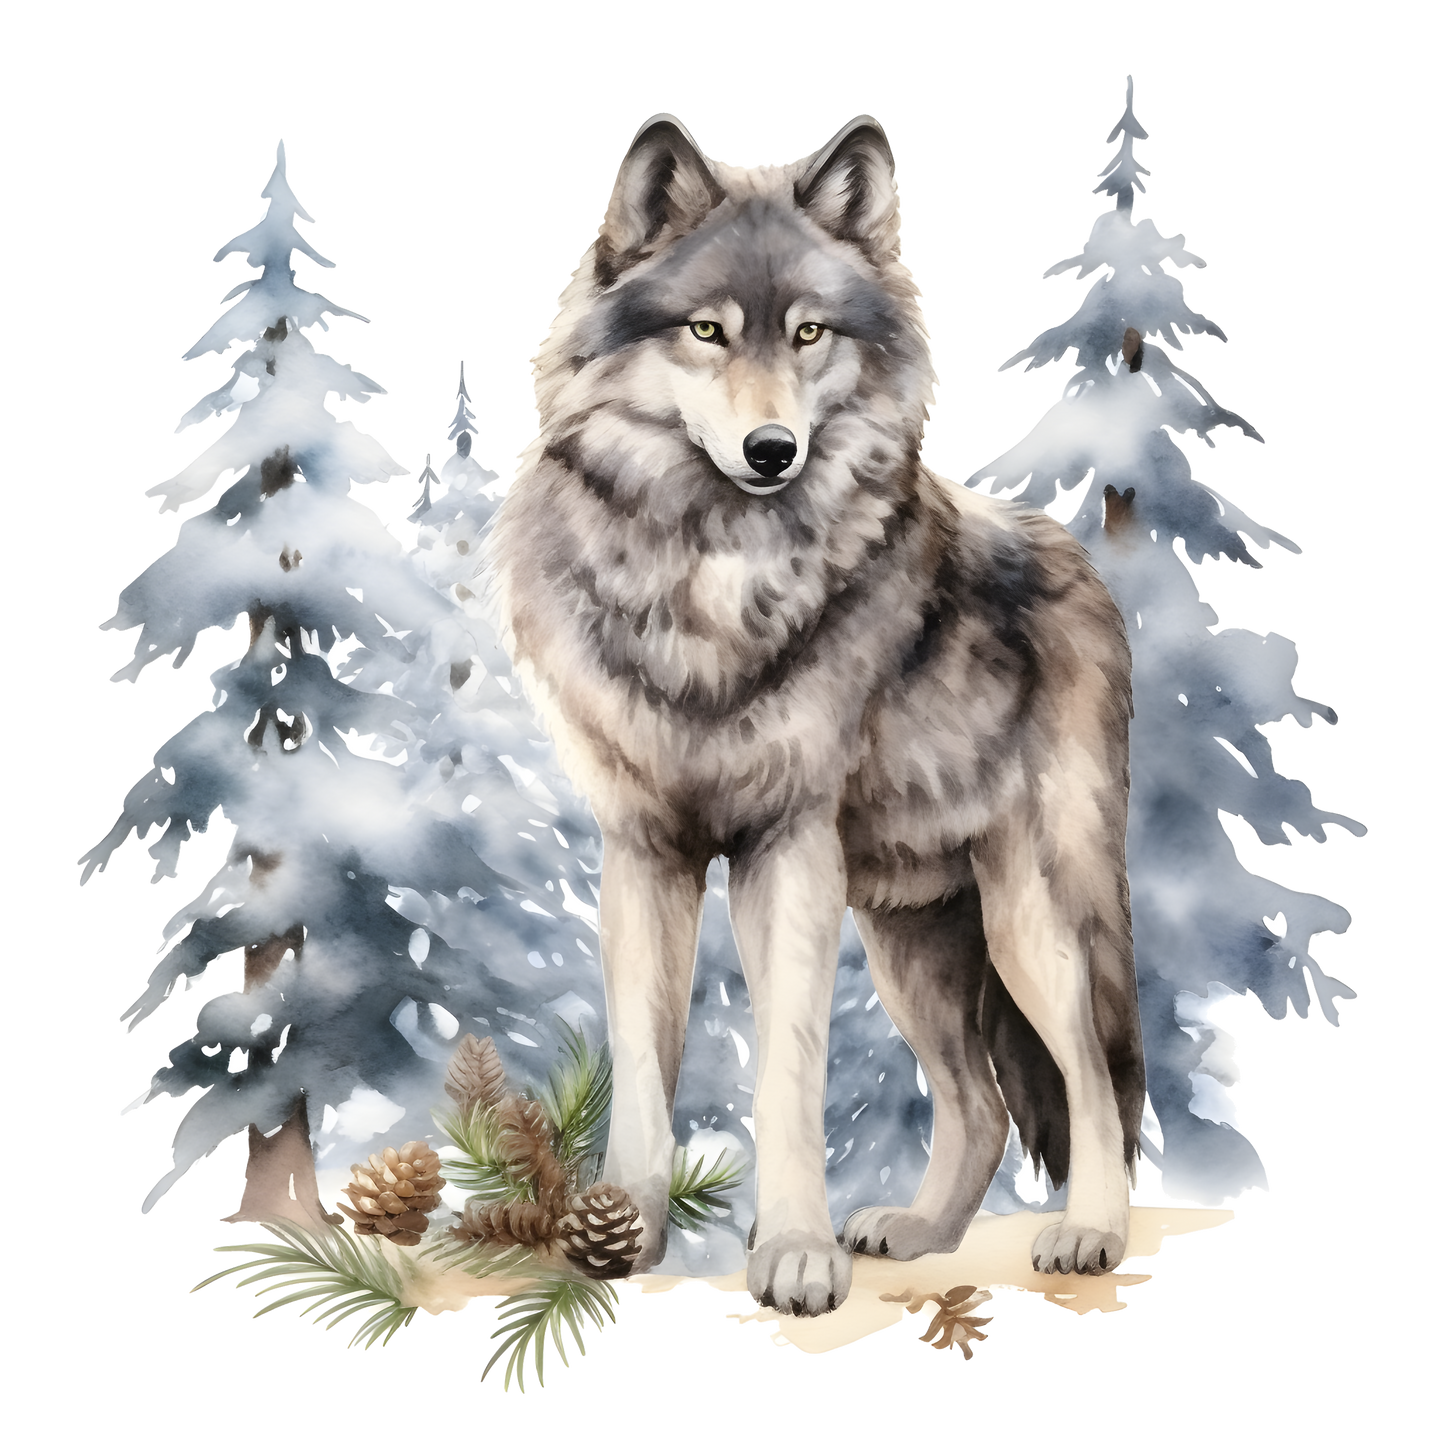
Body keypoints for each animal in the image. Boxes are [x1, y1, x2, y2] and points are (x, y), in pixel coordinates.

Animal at [487, 112, 1144, 1317]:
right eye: (706, 330)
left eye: (807, 335)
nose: (770, 452)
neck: (707, 576)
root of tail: (1080, 565)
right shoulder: (642, 852)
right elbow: (643, 1066)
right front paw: (620, 1233)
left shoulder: (786, 850)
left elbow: (786, 1070)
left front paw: (791, 1252)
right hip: (910, 943)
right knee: (979, 1104)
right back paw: (920, 1230)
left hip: (1031, 917)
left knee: (1094, 1077)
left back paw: (1088, 1232)